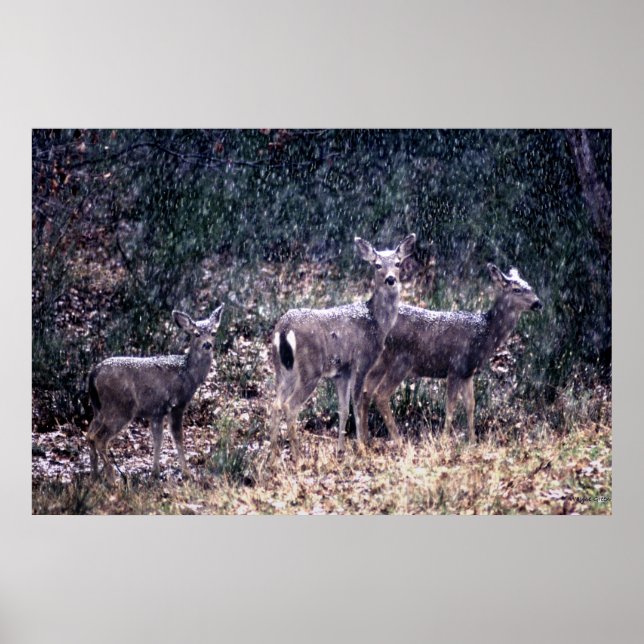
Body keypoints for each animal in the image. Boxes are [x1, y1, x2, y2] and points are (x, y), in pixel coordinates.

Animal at [87, 305, 224, 482]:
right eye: (196, 333)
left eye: (213, 332)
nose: (207, 344)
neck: (188, 374)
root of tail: (93, 374)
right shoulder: (177, 405)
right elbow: (177, 437)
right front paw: (187, 473)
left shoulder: (157, 411)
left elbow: (158, 439)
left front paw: (155, 473)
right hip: (120, 408)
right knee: (99, 439)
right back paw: (112, 478)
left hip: (98, 409)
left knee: (89, 435)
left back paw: (95, 475)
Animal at [269, 234, 416, 462]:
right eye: (377, 265)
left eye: (398, 263)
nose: (391, 279)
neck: (376, 323)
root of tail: (284, 329)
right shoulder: (362, 361)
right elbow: (357, 404)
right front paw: (361, 447)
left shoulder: (342, 372)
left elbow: (343, 409)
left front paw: (341, 449)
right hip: (310, 370)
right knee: (290, 406)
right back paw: (298, 456)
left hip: (283, 370)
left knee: (276, 404)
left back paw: (272, 455)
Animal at [361, 264, 542, 444]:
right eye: (517, 290)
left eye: (530, 286)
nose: (538, 303)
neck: (484, 334)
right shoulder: (455, 367)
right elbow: (451, 405)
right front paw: (444, 439)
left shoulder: (467, 372)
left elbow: (470, 404)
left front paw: (472, 441)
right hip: (401, 361)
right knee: (380, 395)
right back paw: (398, 441)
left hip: (380, 362)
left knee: (365, 391)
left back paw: (364, 439)